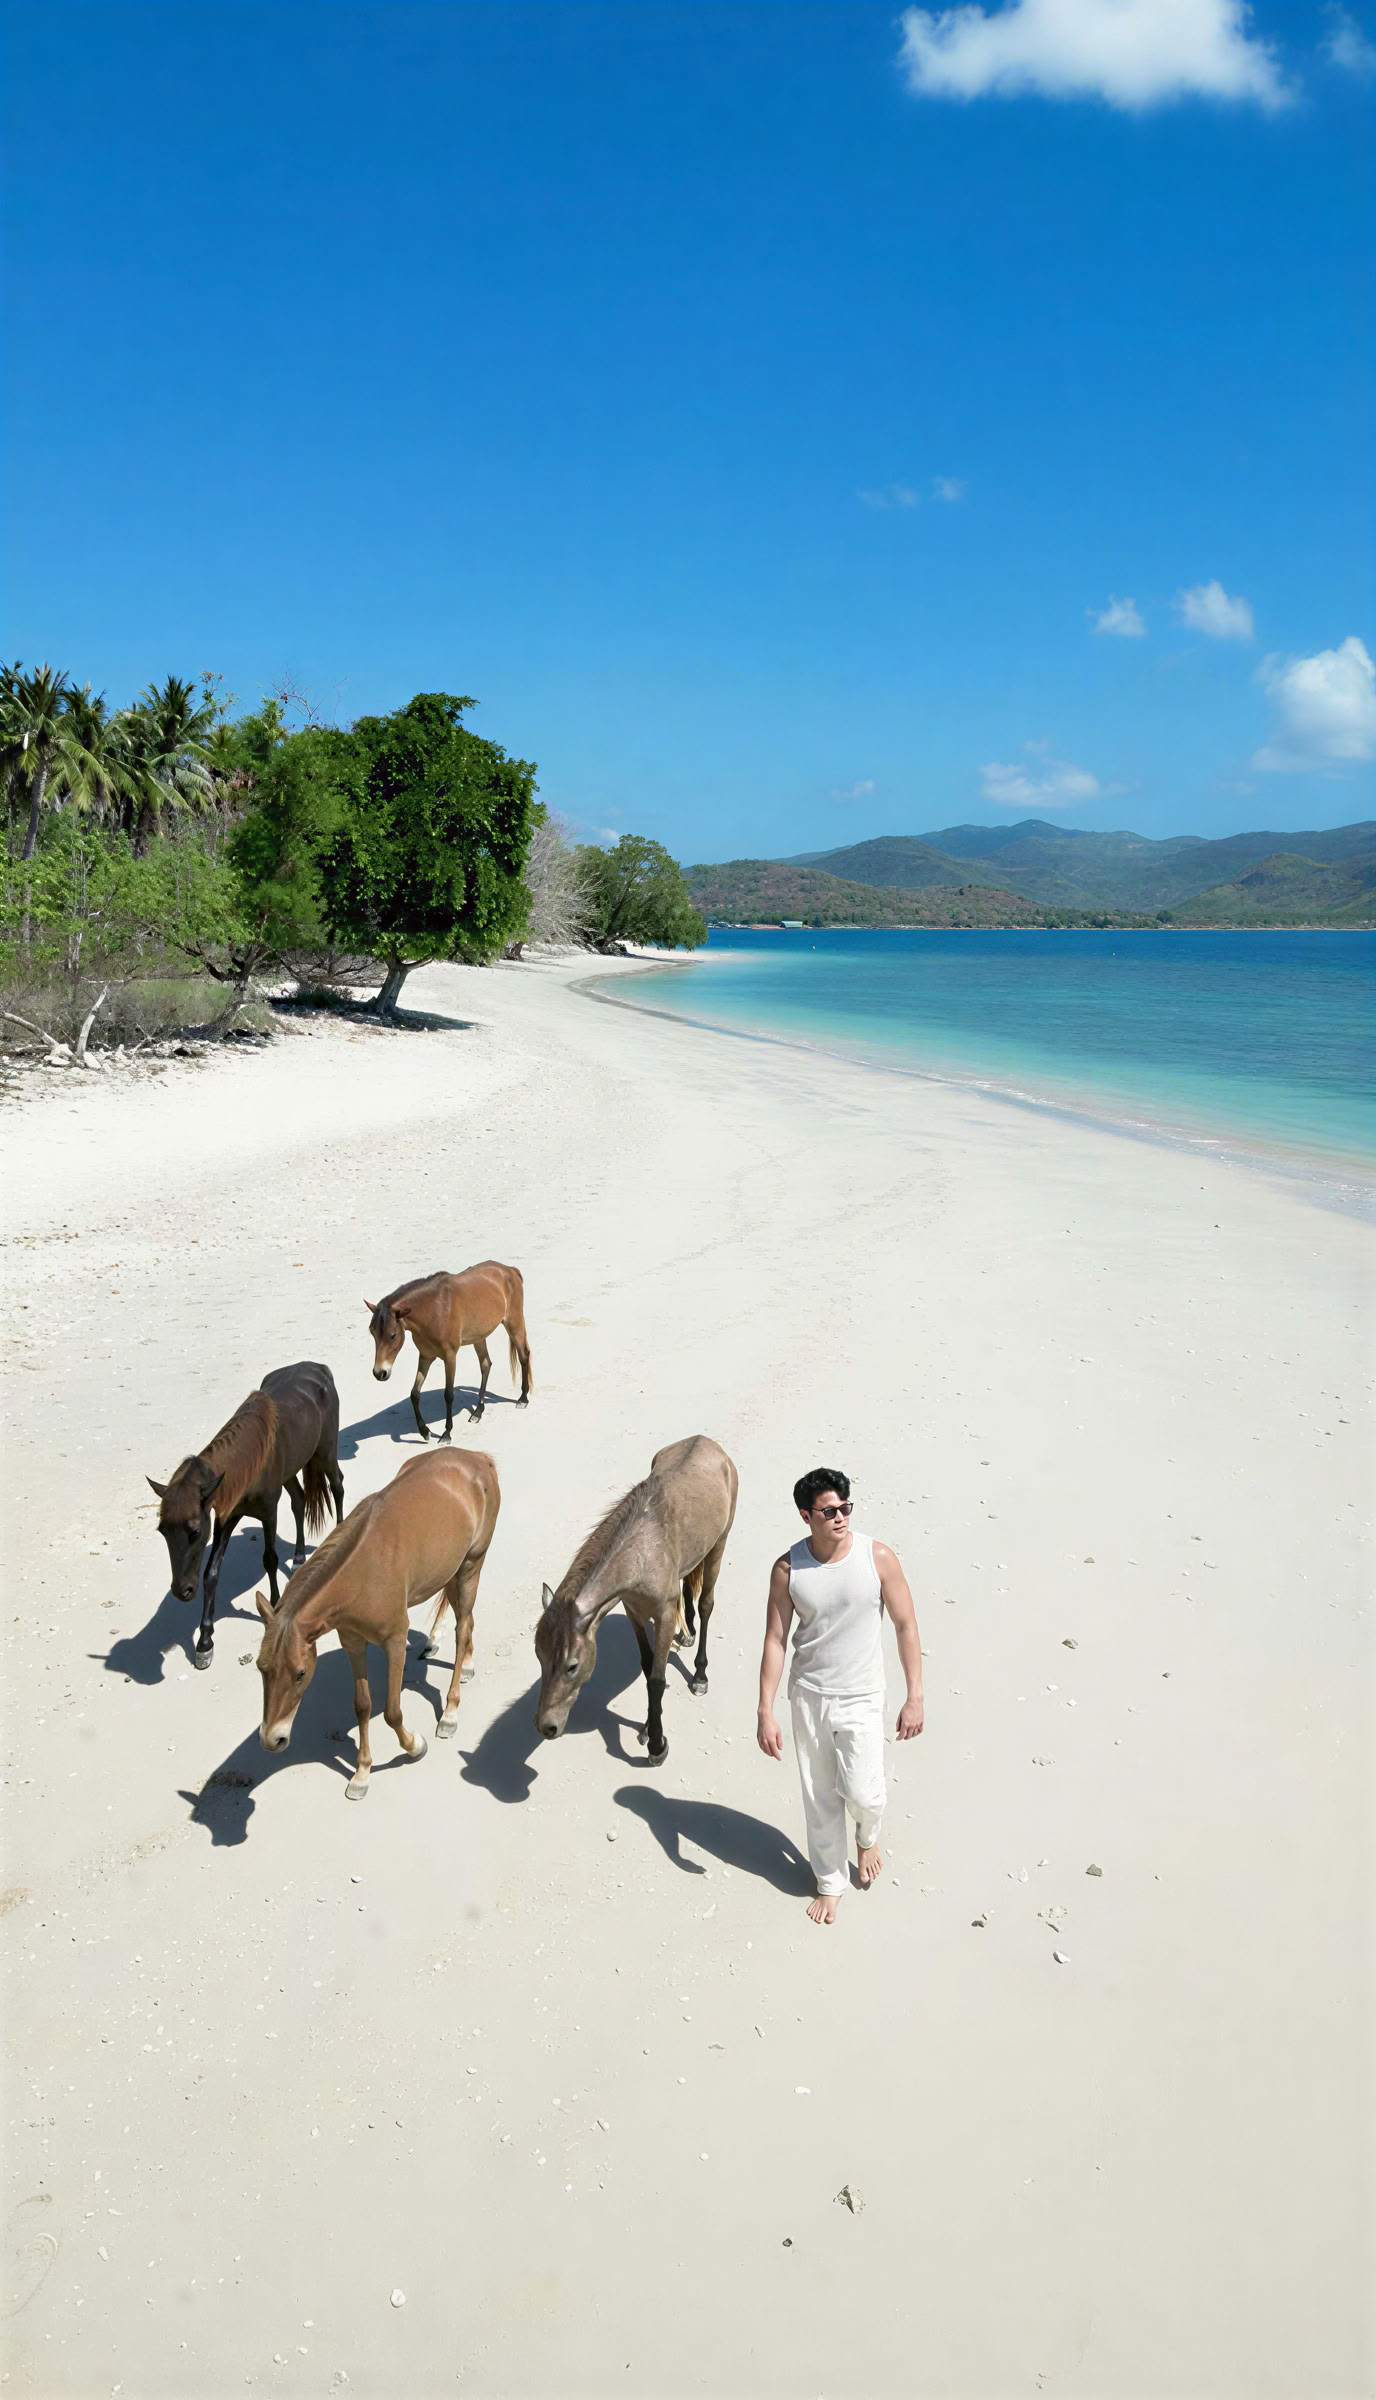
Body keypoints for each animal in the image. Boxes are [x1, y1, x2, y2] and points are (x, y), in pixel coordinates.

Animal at [148, 1361, 344, 1671]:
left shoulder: (268, 1512)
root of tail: (317, 1367)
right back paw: (299, 1557)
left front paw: (274, 1605)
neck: (248, 1462)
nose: (181, 1591)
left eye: (194, 1531)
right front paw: (204, 1642)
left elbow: (270, 1559)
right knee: (299, 1500)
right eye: (163, 1531)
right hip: (291, 1470)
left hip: (326, 1451)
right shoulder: (225, 1518)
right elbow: (211, 1572)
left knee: (338, 1486)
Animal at [255, 1446, 501, 1799]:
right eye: (261, 1668)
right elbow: (362, 1705)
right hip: (451, 1569)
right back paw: (464, 1664)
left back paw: (450, 1712)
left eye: (300, 1673)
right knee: (463, 1620)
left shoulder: (394, 1641)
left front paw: (414, 1746)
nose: (271, 1739)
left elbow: (392, 1710)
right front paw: (362, 1773)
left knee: (462, 1627)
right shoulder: (353, 1643)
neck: (361, 1573)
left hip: (470, 1565)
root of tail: (477, 1458)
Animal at [365, 1261, 532, 1437]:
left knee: (524, 1356)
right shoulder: (425, 1356)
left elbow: (448, 1394)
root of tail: (509, 1269)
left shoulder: (450, 1357)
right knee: (486, 1364)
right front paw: (424, 1431)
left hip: (514, 1323)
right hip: (479, 1337)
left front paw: (446, 1433)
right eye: (372, 1332)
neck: (434, 1310)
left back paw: (523, 1398)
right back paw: (478, 1411)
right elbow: (415, 1394)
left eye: (393, 1335)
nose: (379, 1373)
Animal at [533, 1435, 737, 1765]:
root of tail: (707, 1443)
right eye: (539, 1657)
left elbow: (656, 1679)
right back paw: (688, 1632)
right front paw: (648, 1728)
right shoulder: (634, 1612)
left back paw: (699, 1674)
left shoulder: (663, 1616)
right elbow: (648, 1664)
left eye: (572, 1666)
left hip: (719, 1545)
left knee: (706, 1605)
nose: (546, 1727)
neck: (642, 1550)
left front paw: (656, 1744)